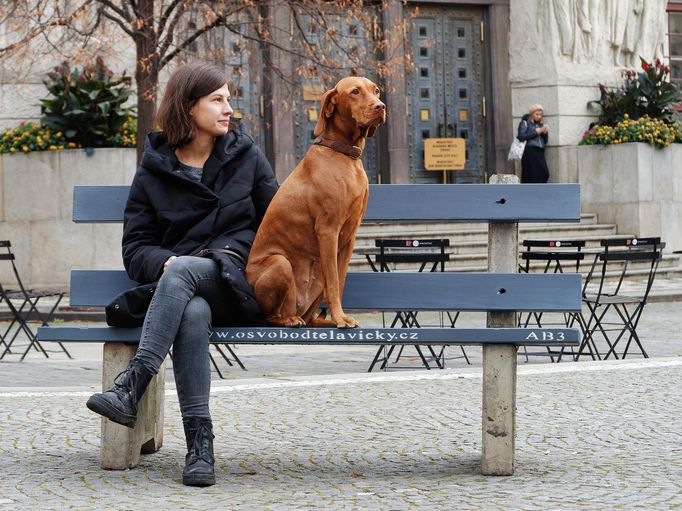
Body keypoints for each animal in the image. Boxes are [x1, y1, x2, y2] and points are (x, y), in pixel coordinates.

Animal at [244, 78, 386, 330]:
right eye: (355, 92)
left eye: (376, 90)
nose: (380, 106)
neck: (344, 155)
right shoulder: (328, 231)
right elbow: (335, 283)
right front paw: (340, 318)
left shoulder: (349, 237)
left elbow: (339, 281)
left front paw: (341, 317)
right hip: (280, 263)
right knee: (270, 317)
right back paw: (289, 319)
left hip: (317, 271)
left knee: (310, 316)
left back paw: (321, 321)